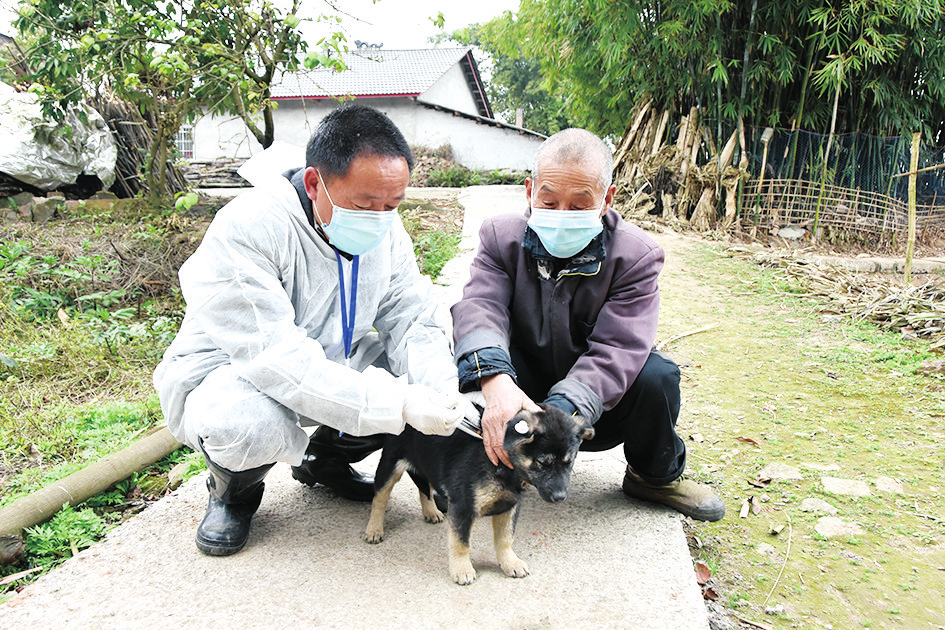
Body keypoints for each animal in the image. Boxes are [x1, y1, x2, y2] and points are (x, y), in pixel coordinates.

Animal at [362, 404, 592, 588]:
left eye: (569, 462)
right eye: (543, 463)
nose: (561, 497)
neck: (503, 467)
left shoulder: (510, 506)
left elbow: (506, 539)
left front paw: (510, 562)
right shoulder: (463, 505)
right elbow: (461, 542)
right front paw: (462, 569)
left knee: (424, 486)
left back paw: (431, 511)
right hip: (390, 464)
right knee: (379, 498)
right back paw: (374, 529)